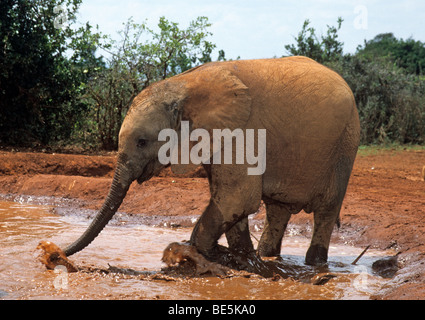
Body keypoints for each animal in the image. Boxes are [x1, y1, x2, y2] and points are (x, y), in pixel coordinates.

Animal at [58, 56, 358, 266]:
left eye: (142, 142)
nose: (56, 253)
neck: (182, 87)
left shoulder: (242, 132)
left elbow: (236, 198)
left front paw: (196, 252)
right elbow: (230, 203)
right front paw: (241, 257)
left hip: (345, 144)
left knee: (326, 210)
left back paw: (315, 263)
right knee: (278, 209)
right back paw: (267, 257)